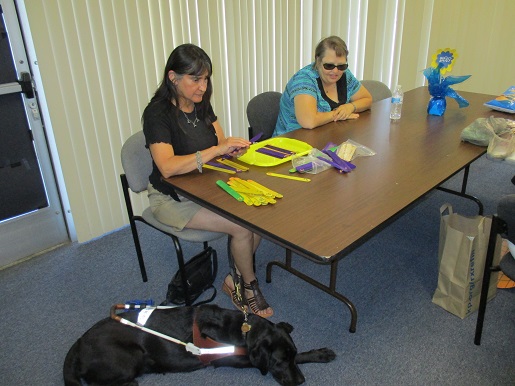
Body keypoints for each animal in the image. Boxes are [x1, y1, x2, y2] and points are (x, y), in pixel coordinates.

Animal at [63, 304, 334, 384]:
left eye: (290, 356)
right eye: (279, 361)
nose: (301, 381)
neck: (244, 331)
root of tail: (78, 344)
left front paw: (320, 353)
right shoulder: (236, 358)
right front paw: (319, 354)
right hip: (129, 357)